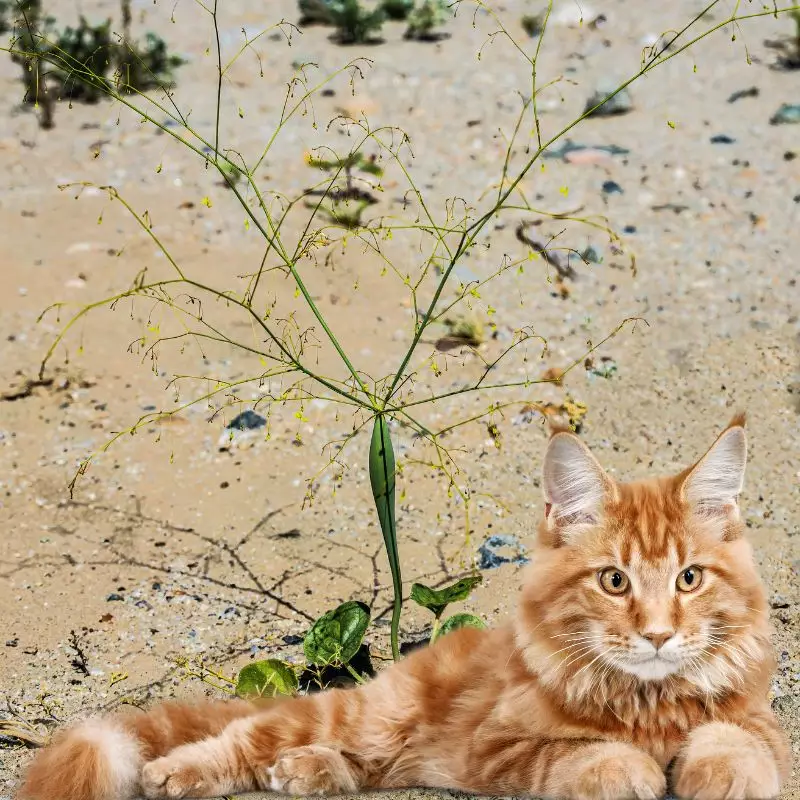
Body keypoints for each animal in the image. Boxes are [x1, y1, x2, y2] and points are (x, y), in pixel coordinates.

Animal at [18, 418, 788, 800]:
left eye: (689, 579)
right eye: (615, 581)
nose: (658, 635)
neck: (647, 704)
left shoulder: (759, 724)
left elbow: (736, 744)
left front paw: (719, 774)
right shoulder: (499, 747)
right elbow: (587, 756)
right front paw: (631, 770)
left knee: (355, 765)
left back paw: (306, 773)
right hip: (362, 713)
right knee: (244, 737)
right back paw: (177, 775)